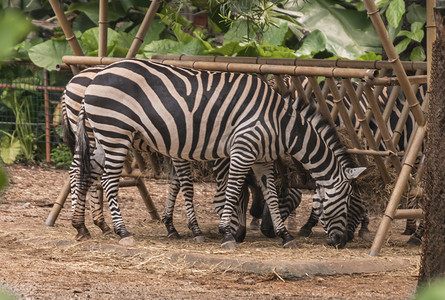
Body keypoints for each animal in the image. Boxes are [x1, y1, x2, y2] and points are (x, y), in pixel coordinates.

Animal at [72, 58, 364, 248]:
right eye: (348, 201)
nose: (341, 242)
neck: (280, 123)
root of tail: (96, 76)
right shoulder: (242, 150)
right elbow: (233, 190)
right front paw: (227, 234)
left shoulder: (263, 160)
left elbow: (269, 195)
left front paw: (285, 236)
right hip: (115, 132)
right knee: (108, 180)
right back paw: (122, 232)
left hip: (103, 135)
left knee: (84, 173)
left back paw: (82, 227)